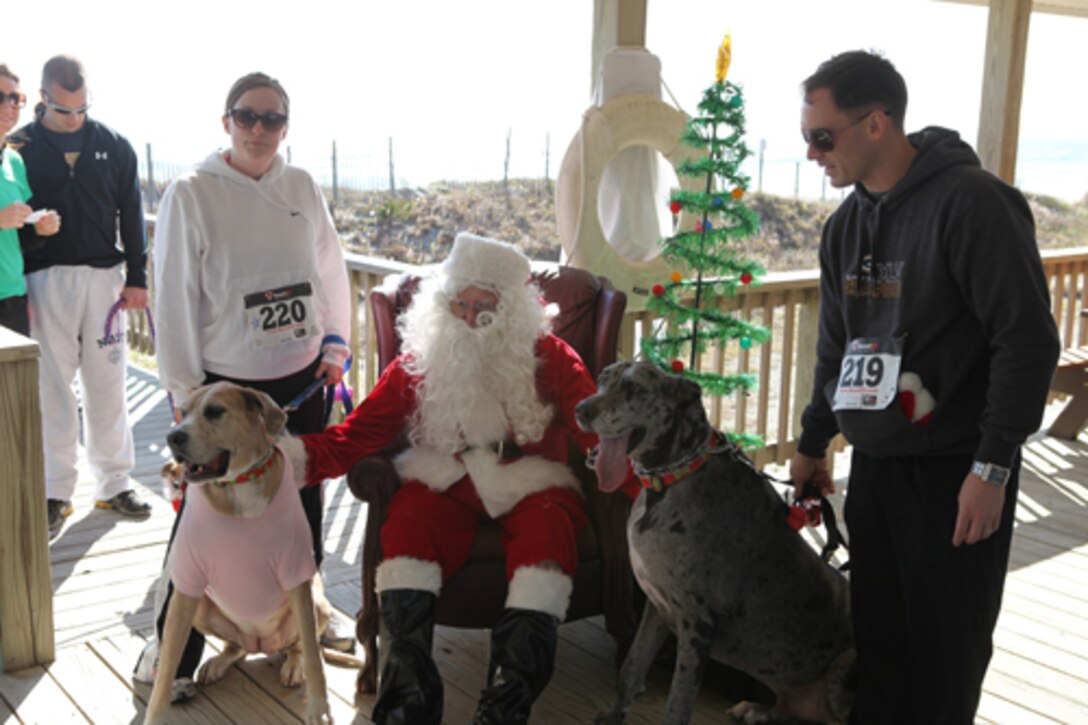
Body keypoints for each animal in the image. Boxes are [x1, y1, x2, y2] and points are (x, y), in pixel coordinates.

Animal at [144, 381, 330, 718]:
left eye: (215, 411)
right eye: (183, 412)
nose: (173, 437)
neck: (238, 488)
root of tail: (262, 644)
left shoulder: (298, 577)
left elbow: (312, 653)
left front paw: (318, 706)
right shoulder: (185, 589)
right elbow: (166, 668)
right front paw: (157, 710)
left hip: (317, 604)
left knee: (299, 646)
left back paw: (293, 665)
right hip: (204, 609)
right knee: (237, 647)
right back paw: (219, 662)